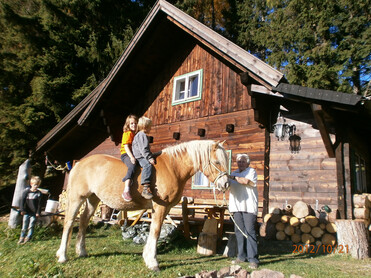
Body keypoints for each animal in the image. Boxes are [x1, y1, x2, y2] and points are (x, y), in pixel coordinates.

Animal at [56, 140, 230, 270]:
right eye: (216, 161)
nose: (225, 184)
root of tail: (79, 164)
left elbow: (154, 230)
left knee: (84, 221)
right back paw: (62, 255)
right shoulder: (160, 207)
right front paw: (153, 262)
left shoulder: (164, 209)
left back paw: (81, 251)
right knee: (69, 222)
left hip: (93, 199)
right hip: (77, 198)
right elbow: (156, 231)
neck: (172, 167)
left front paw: (147, 257)